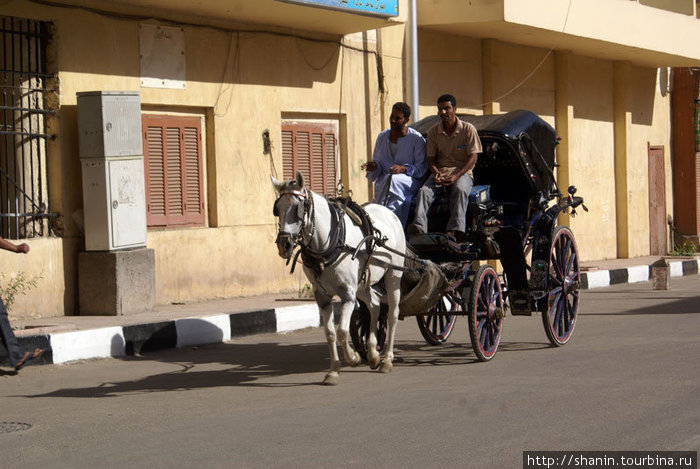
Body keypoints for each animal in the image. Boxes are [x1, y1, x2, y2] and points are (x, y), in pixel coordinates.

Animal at [272, 172, 408, 384]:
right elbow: (330, 333)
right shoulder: (322, 296)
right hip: (362, 283)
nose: (284, 245)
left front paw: (353, 358)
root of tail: (388, 211)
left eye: (298, 208)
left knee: (392, 314)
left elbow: (342, 331)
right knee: (375, 305)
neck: (329, 244)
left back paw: (387, 359)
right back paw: (373, 354)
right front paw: (333, 370)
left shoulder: (347, 295)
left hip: (393, 275)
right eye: (277, 209)